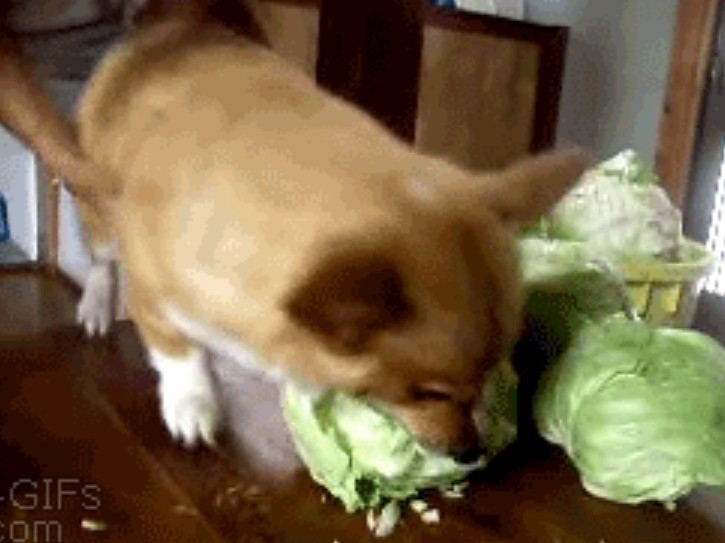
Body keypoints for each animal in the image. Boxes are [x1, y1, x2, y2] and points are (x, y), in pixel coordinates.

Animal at [73, 3, 588, 458]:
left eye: (488, 379)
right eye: (429, 393)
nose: (469, 453)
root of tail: (180, 24)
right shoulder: (152, 294)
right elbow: (177, 349)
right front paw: (193, 402)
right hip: (96, 198)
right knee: (100, 255)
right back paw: (96, 304)